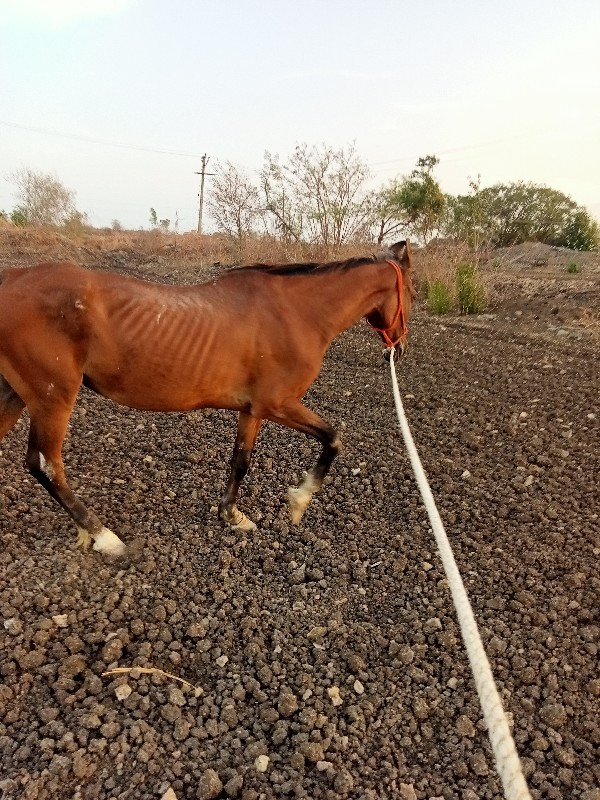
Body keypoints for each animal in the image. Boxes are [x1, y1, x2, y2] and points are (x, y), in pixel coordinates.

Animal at [0, 241, 412, 560]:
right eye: (410, 293)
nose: (400, 347)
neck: (297, 313)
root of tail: (12, 279)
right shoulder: (279, 404)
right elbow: (332, 438)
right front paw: (298, 501)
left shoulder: (253, 409)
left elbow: (240, 462)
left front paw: (232, 516)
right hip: (52, 397)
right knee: (46, 466)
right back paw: (105, 537)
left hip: (17, 396)